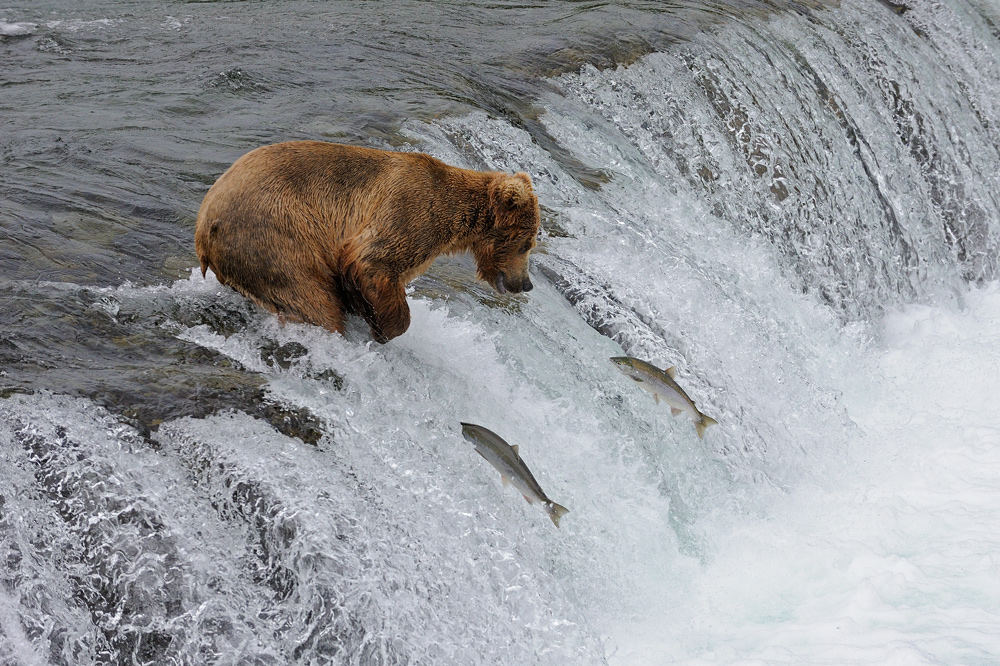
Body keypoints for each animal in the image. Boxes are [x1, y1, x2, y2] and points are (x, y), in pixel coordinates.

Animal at [194, 137, 540, 340]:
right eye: (527, 243)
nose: (526, 284)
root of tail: (202, 227)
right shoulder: (410, 211)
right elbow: (372, 260)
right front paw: (385, 326)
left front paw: (364, 309)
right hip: (275, 234)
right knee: (311, 297)